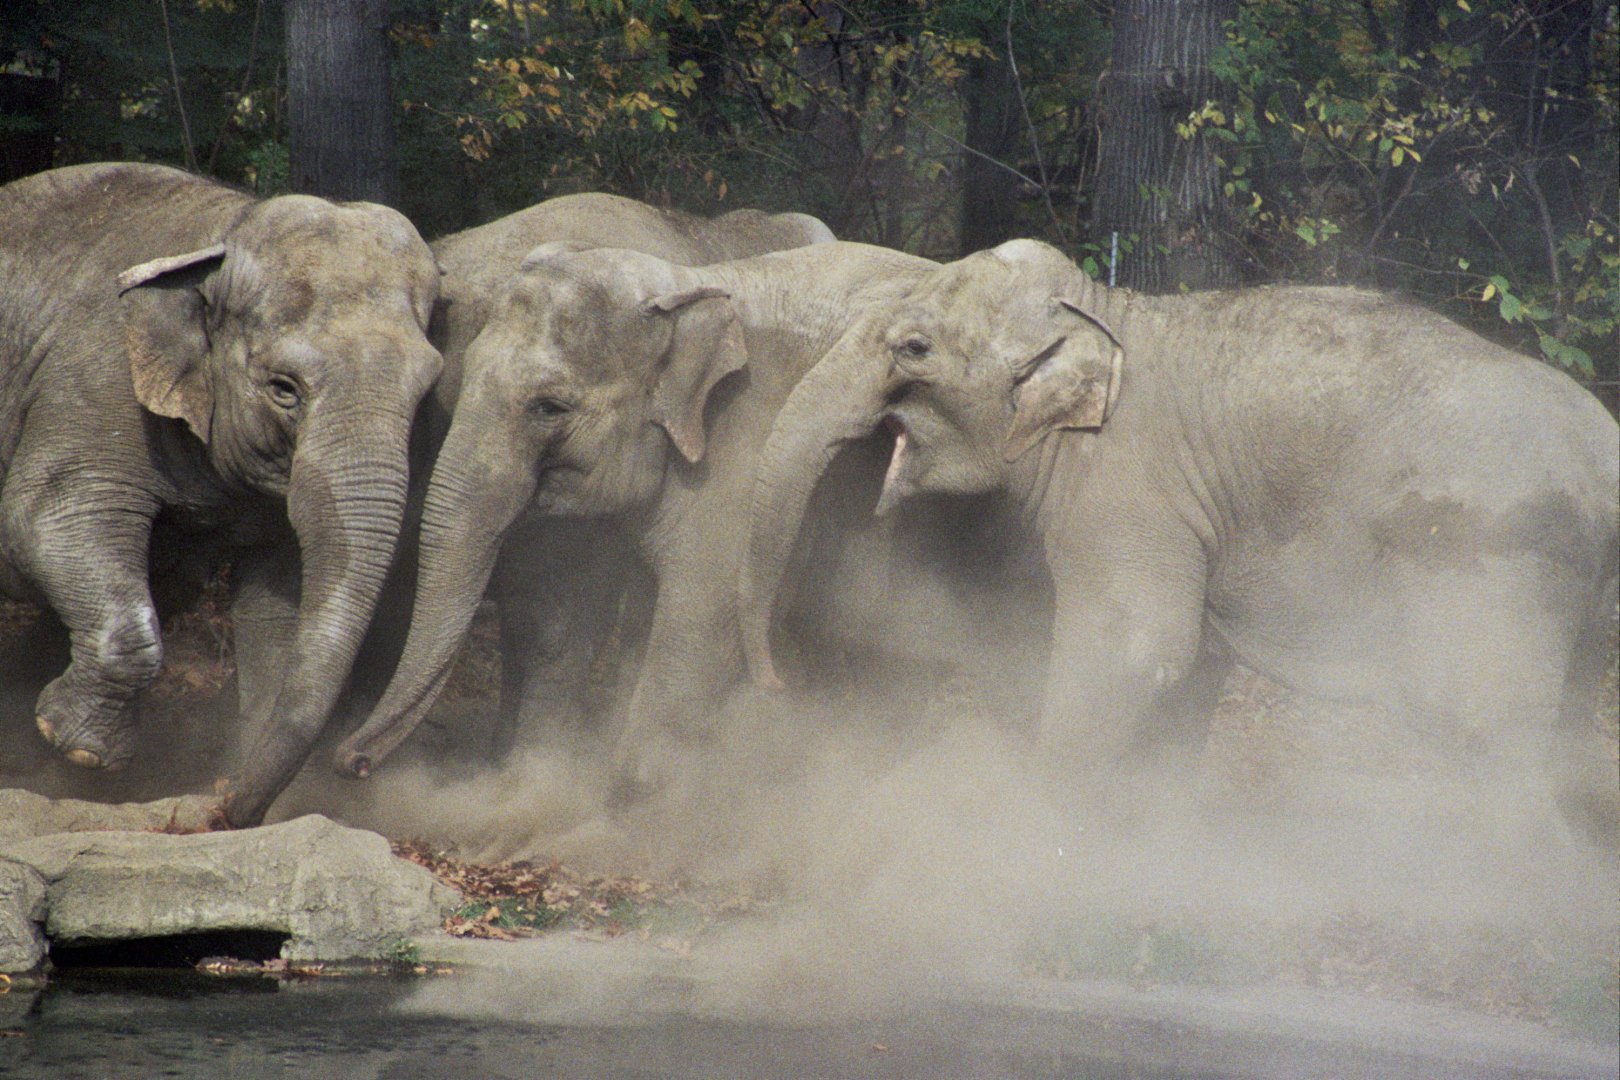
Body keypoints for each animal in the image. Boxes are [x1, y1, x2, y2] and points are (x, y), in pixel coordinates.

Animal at [0, 163, 443, 828]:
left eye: (426, 393)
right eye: (284, 388)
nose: (222, 806)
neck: (222, 231)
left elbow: (279, 596)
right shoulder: (88, 384)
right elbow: (42, 517)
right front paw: (80, 751)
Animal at [738, 239, 1620, 847]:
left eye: (913, 349)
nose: (778, 683)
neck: (1107, 313)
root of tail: (1603, 449)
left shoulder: (1124, 488)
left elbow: (1133, 648)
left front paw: (1028, 840)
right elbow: (1192, 663)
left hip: (1497, 564)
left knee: (1484, 727)